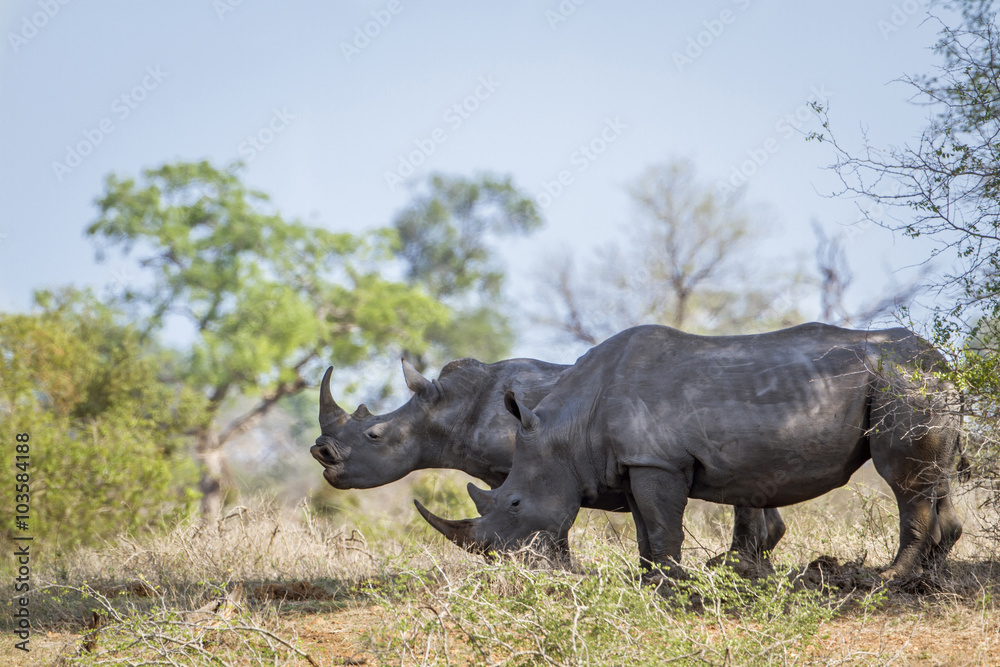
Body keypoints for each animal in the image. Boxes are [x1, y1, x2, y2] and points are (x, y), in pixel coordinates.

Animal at [311, 356, 786, 562]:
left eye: (374, 435)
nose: (320, 452)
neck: (447, 410)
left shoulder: (523, 460)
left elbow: (542, 516)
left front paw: (550, 569)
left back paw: (736, 566)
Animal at [416, 323, 965, 580]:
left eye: (513, 503)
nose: (505, 564)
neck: (568, 429)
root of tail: (942, 361)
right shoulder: (633, 463)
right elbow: (644, 527)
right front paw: (646, 578)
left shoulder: (658, 461)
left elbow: (662, 524)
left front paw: (670, 582)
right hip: (919, 383)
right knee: (936, 480)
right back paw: (929, 576)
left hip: (902, 383)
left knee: (905, 482)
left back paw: (888, 578)